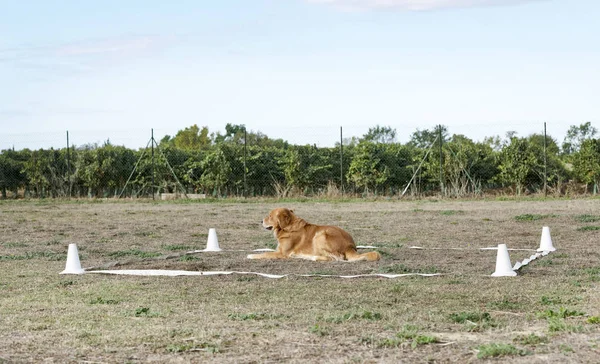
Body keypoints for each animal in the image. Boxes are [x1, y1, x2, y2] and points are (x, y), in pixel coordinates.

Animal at [247, 208, 380, 262]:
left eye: (270, 216)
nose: (260, 221)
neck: (288, 227)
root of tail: (350, 246)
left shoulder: (282, 253)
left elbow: (264, 254)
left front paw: (251, 255)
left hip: (320, 235)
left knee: (337, 258)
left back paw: (312, 257)